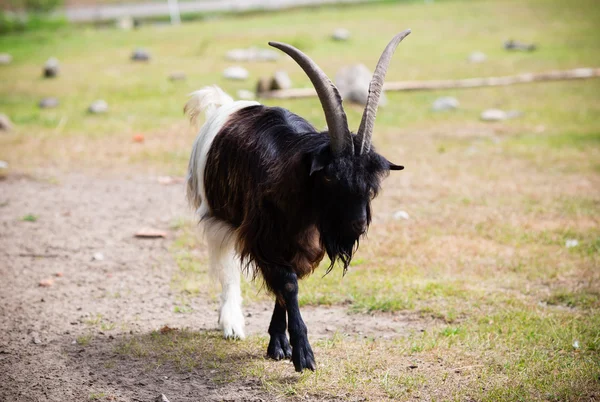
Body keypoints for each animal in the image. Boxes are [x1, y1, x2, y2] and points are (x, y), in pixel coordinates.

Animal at [185, 29, 410, 372]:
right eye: (329, 177)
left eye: (372, 184)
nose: (357, 225)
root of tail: (227, 105)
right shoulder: (263, 238)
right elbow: (288, 285)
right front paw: (303, 353)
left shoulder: (304, 242)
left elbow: (286, 286)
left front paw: (280, 344)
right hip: (217, 216)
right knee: (226, 267)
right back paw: (231, 323)